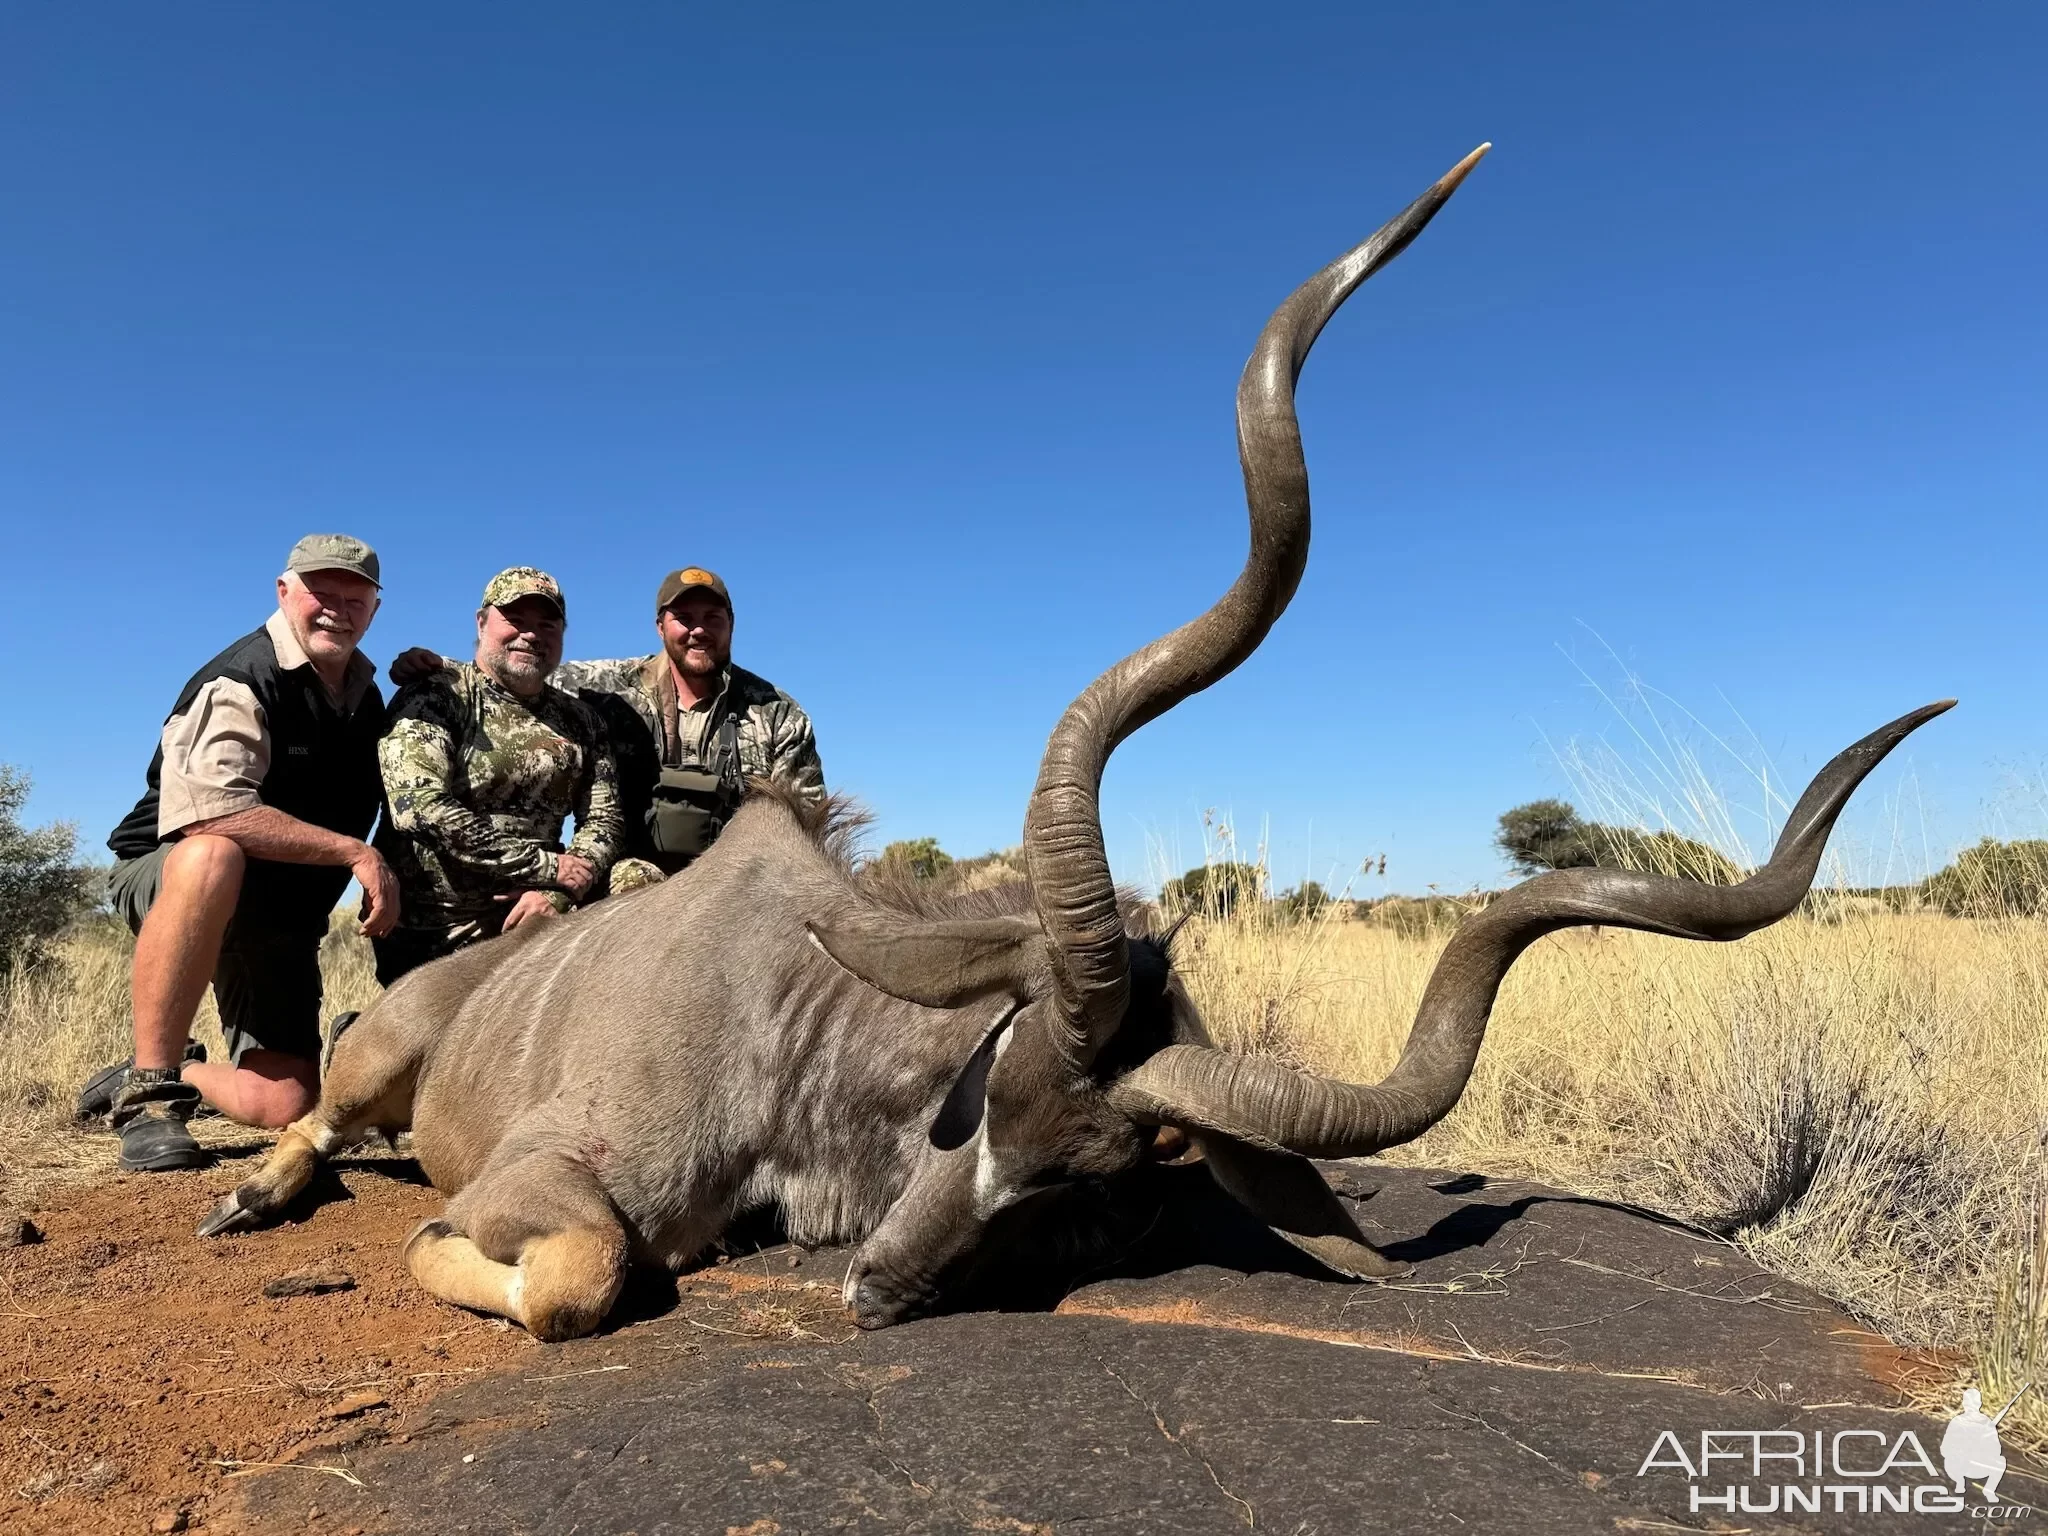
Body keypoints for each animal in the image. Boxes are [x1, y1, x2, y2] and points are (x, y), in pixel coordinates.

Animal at [199, 147, 1941, 1343]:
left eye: (1084, 1173)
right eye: (987, 1094)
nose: (875, 1289)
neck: (788, 1019)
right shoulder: (554, 1176)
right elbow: (576, 1267)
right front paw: (435, 1248)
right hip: (378, 1061)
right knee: (319, 1126)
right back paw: (242, 1190)